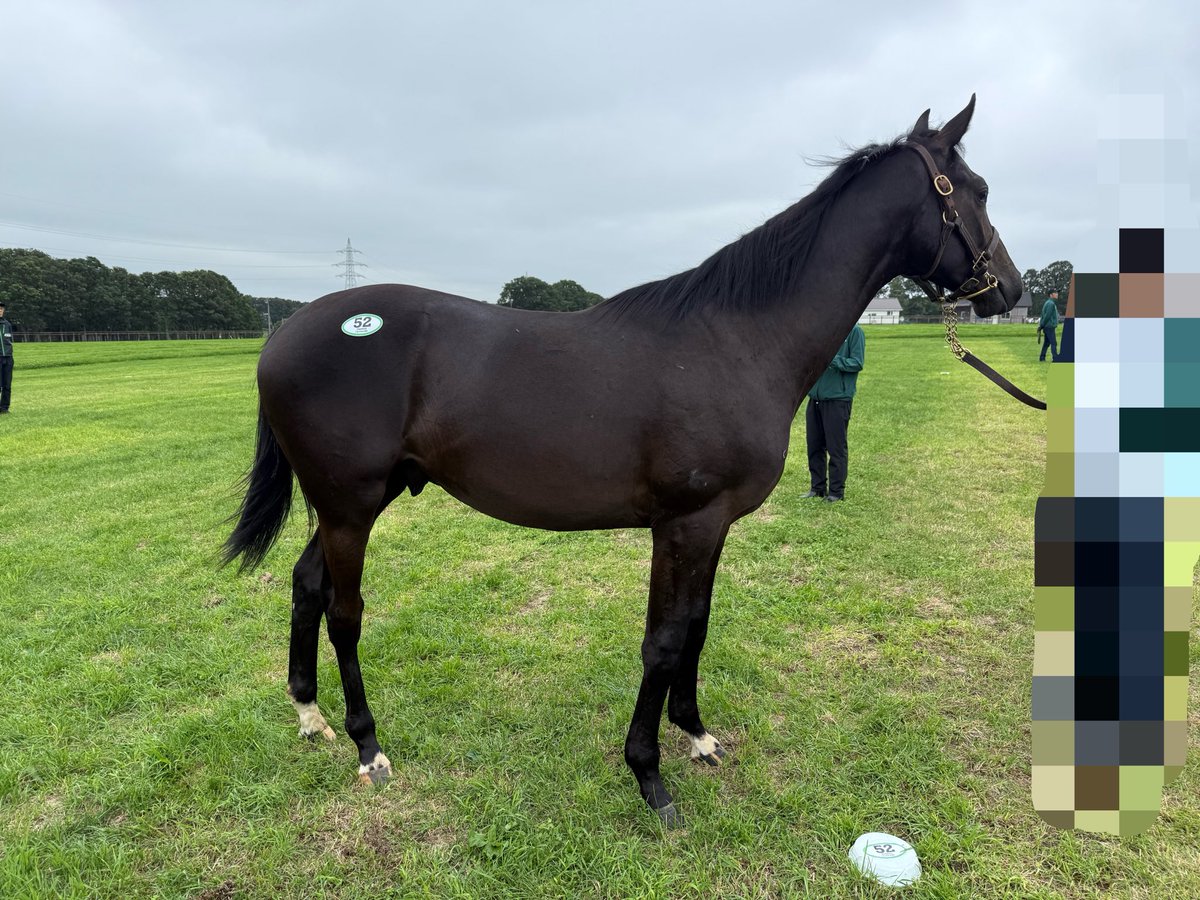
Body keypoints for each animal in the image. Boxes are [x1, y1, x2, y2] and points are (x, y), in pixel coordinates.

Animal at [223, 96, 1022, 826]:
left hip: (357, 501)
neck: (738, 340)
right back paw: (369, 746)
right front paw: (650, 776)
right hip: (350, 505)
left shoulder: (712, 524)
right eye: (978, 189)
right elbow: (663, 641)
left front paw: (696, 734)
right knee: (345, 612)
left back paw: (311, 716)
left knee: (306, 585)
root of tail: (284, 333)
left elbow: (697, 624)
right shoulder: (684, 523)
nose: (1007, 289)